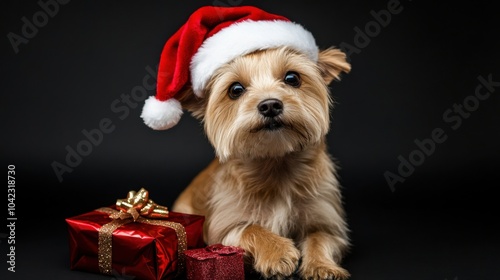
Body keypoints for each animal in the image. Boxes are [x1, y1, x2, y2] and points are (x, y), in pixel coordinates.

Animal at [141, 5, 352, 278]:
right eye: (235, 89)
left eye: (292, 78)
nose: (270, 105)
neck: (276, 164)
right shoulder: (223, 227)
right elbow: (252, 228)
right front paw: (277, 252)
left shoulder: (327, 221)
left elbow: (320, 238)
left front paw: (322, 266)